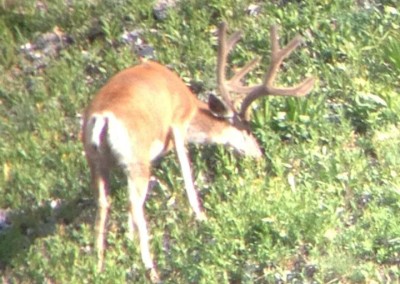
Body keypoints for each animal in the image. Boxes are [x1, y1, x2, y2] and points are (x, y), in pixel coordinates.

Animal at [82, 21, 316, 280]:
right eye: (247, 130)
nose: (259, 154)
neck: (193, 108)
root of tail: (102, 118)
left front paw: (128, 238)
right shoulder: (177, 122)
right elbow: (186, 171)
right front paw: (201, 215)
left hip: (94, 159)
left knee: (103, 202)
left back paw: (98, 267)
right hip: (136, 158)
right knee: (134, 202)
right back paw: (151, 269)